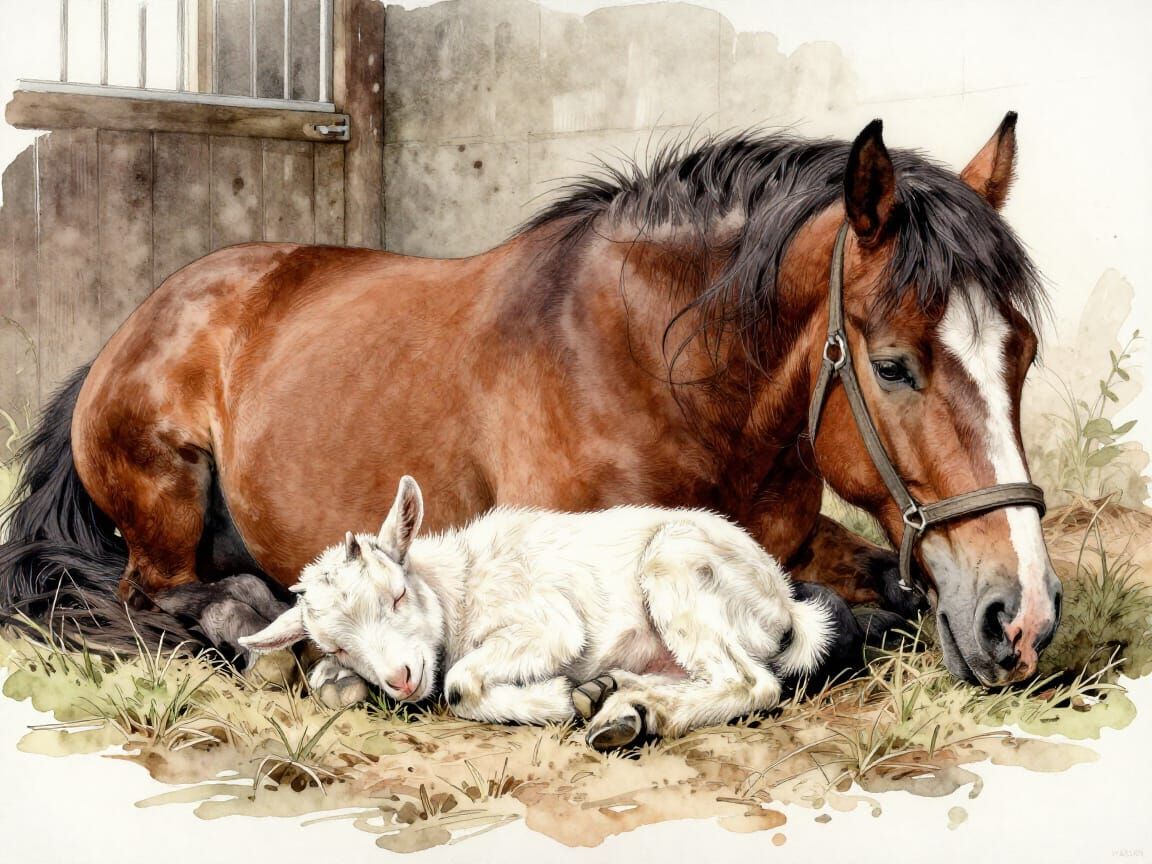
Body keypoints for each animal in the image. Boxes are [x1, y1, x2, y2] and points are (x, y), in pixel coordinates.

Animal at [0, 114, 1060, 687]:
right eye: (893, 365)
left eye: (1024, 353)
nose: (1022, 620)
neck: (656, 376)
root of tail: (135, 322)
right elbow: (830, 619)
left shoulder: (794, 539)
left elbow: (885, 587)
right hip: (168, 506)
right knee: (158, 593)